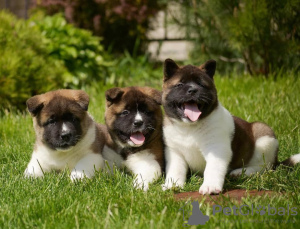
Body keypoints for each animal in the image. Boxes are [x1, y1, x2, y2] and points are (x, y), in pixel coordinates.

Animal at [162, 58, 300, 194]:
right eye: (179, 85)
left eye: (201, 85)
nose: (193, 90)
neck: (189, 127)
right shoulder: (175, 152)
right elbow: (176, 170)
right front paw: (172, 185)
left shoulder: (216, 148)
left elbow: (212, 168)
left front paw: (210, 186)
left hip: (264, 137)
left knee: (264, 167)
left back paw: (241, 172)